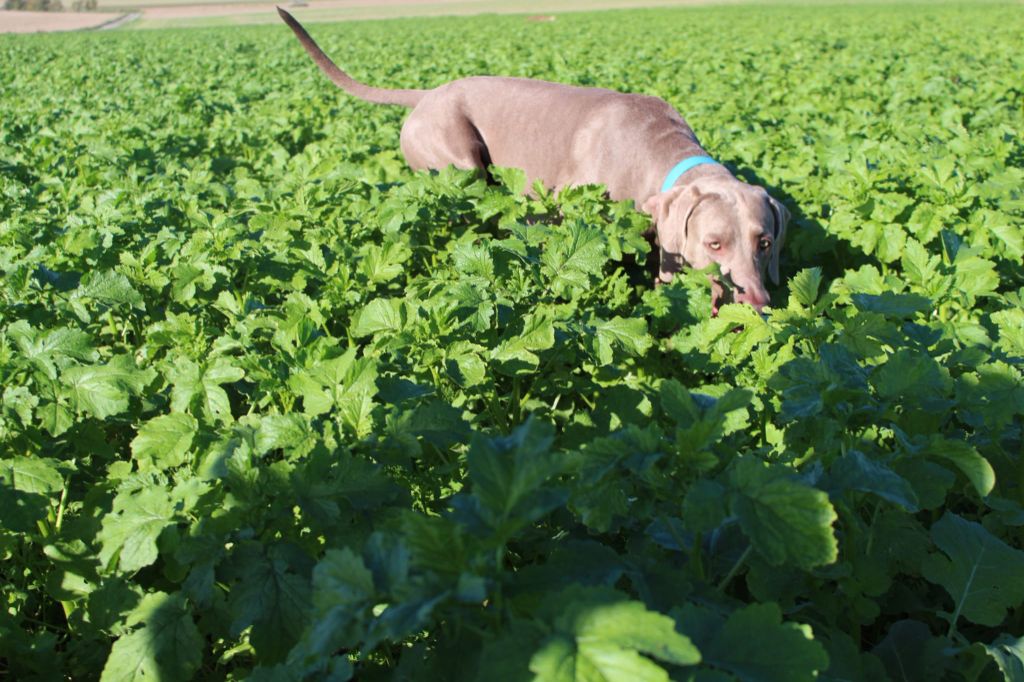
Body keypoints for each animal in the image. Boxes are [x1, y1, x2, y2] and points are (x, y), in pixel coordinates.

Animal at [276, 8, 786, 311]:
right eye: (714, 243)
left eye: (764, 243)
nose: (758, 305)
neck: (660, 152)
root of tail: (424, 95)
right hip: (458, 164)